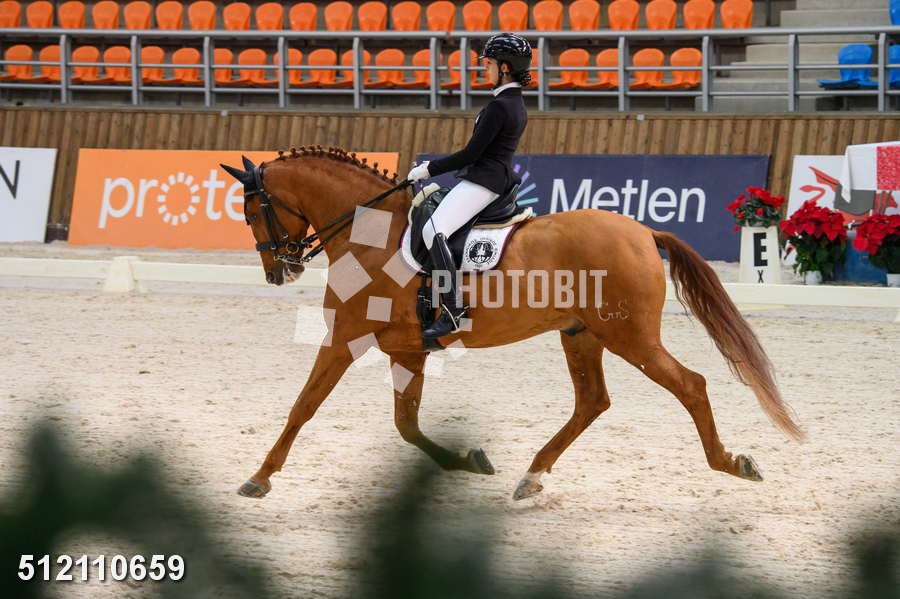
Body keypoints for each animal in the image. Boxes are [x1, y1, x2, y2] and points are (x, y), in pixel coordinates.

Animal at [221, 145, 804, 501]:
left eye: (251, 212)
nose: (279, 270)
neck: (371, 233)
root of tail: (642, 231)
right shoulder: (407, 350)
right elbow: (406, 425)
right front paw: (470, 460)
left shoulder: (344, 338)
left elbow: (303, 406)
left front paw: (259, 478)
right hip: (582, 335)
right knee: (593, 402)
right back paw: (532, 475)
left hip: (629, 336)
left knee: (691, 385)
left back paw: (731, 462)